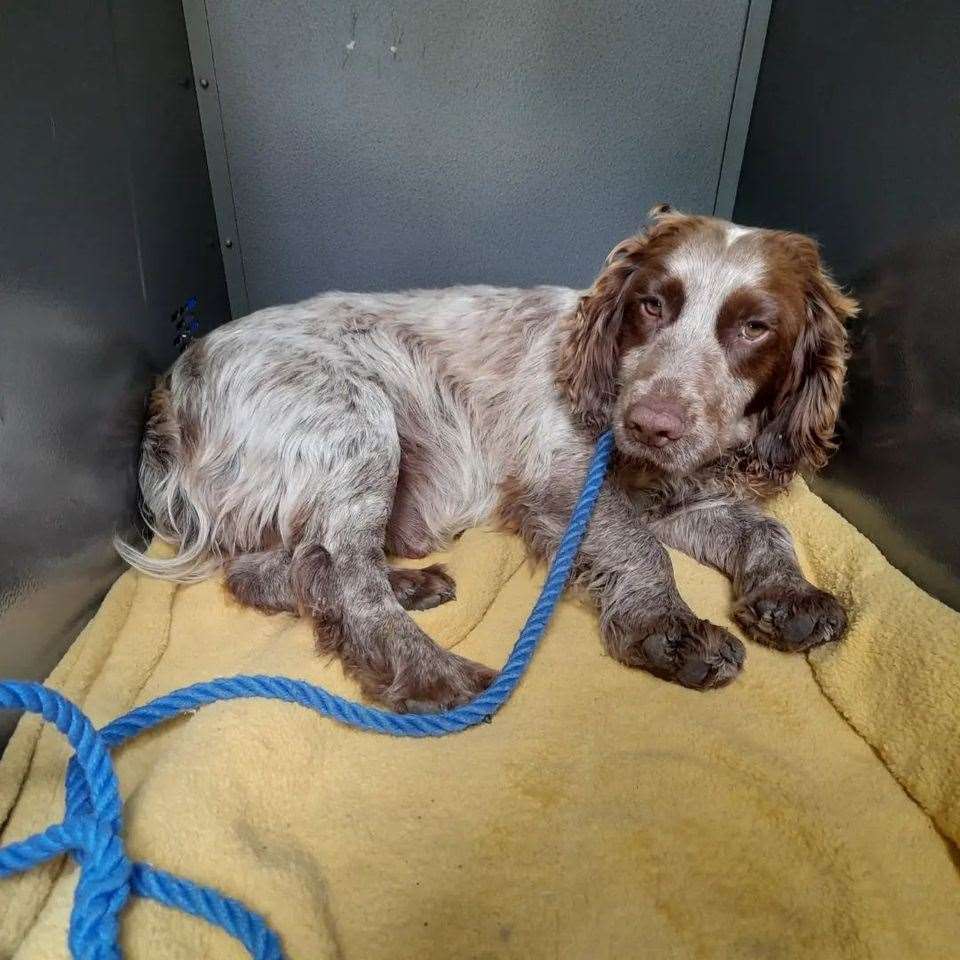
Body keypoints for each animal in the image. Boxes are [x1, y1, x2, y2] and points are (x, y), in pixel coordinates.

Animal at [116, 206, 860, 708]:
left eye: (755, 327)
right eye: (652, 305)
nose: (650, 424)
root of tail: (173, 386)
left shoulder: (677, 498)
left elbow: (766, 528)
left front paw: (789, 595)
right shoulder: (564, 483)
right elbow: (639, 550)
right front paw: (668, 631)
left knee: (273, 570)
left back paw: (407, 587)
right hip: (358, 421)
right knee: (342, 572)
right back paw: (429, 672)